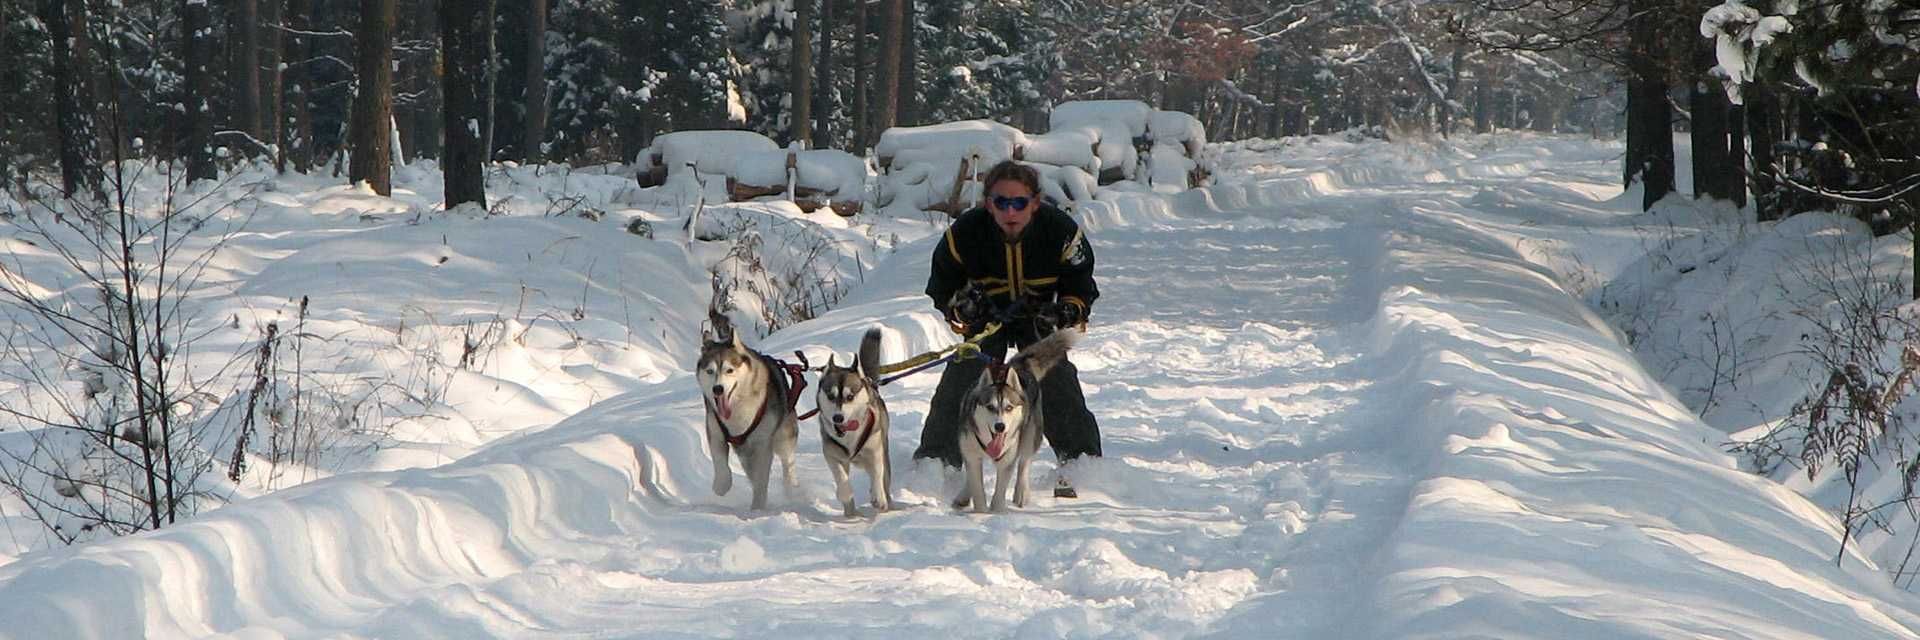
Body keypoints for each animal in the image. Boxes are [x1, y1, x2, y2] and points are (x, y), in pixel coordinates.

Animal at [695, 313, 798, 507]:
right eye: (710, 371)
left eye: (729, 370)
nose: (717, 389)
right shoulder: (716, 433)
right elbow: (721, 465)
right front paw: (721, 485)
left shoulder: (763, 444)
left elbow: (761, 480)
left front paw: (758, 506)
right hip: (744, 452)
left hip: (783, 437)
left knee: (787, 462)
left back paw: (792, 489)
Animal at [817, 326, 890, 515]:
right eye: (830, 396)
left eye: (850, 396)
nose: (838, 417)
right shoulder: (832, 453)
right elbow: (840, 476)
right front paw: (845, 493)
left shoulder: (874, 449)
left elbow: (877, 473)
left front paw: (878, 496)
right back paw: (850, 513)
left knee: (883, 477)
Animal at [960, 326, 1082, 511]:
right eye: (990, 407)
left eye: (1009, 407)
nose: (1000, 426)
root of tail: (1019, 368)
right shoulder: (972, 457)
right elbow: (977, 489)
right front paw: (981, 513)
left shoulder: (1007, 460)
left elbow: (1000, 492)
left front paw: (996, 512)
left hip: (1031, 433)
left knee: (1024, 461)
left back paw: (1021, 493)